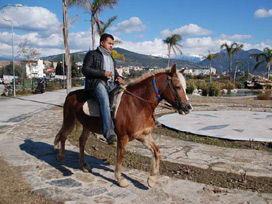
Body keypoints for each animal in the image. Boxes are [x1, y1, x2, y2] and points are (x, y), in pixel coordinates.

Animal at [54, 64, 192, 187]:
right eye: (178, 87)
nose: (188, 107)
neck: (138, 104)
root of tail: (70, 94)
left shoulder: (143, 135)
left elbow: (156, 152)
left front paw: (152, 179)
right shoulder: (122, 137)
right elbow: (120, 157)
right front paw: (120, 179)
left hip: (87, 125)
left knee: (81, 141)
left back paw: (83, 165)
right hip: (69, 120)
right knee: (63, 135)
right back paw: (60, 156)